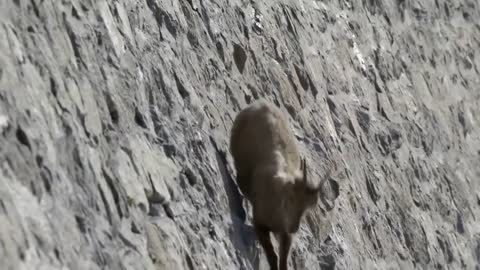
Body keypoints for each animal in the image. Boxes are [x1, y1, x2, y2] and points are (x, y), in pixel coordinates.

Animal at [230, 99, 334, 270]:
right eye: (291, 198)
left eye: (309, 207)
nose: (294, 227)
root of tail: (262, 103)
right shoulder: (260, 223)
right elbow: (272, 256)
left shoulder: (285, 234)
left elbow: (283, 260)